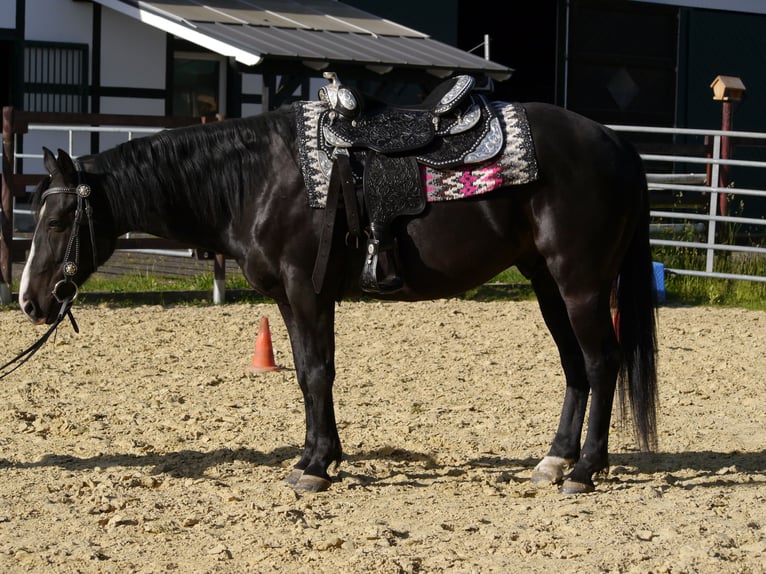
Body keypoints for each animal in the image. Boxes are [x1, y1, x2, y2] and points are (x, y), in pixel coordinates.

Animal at [17, 86, 658, 495]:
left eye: (58, 220)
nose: (29, 300)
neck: (261, 177)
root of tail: (618, 145)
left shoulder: (306, 290)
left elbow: (316, 373)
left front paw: (316, 467)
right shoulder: (290, 298)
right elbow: (307, 371)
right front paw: (315, 456)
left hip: (580, 285)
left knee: (601, 363)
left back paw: (585, 471)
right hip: (547, 283)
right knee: (575, 367)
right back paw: (555, 461)